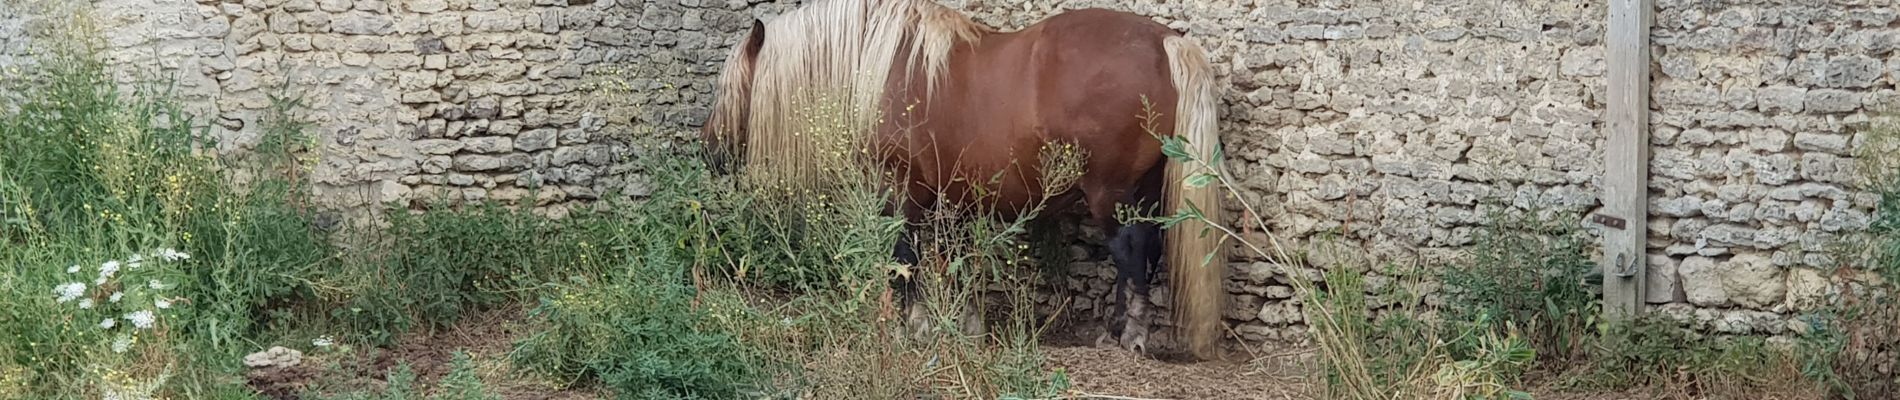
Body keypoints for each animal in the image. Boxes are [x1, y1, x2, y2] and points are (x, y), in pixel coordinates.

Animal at [699, 0, 1231, 360]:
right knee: (1146, 250)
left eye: (729, 88)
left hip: (1112, 193)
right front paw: (964, 323)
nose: (709, 153)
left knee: (1130, 252)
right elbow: (951, 258)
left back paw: (1130, 335)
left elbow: (904, 260)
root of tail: (1167, 43)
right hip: (1143, 192)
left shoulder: (899, 192)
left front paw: (911, 327)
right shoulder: (949, 197)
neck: (885, 69)